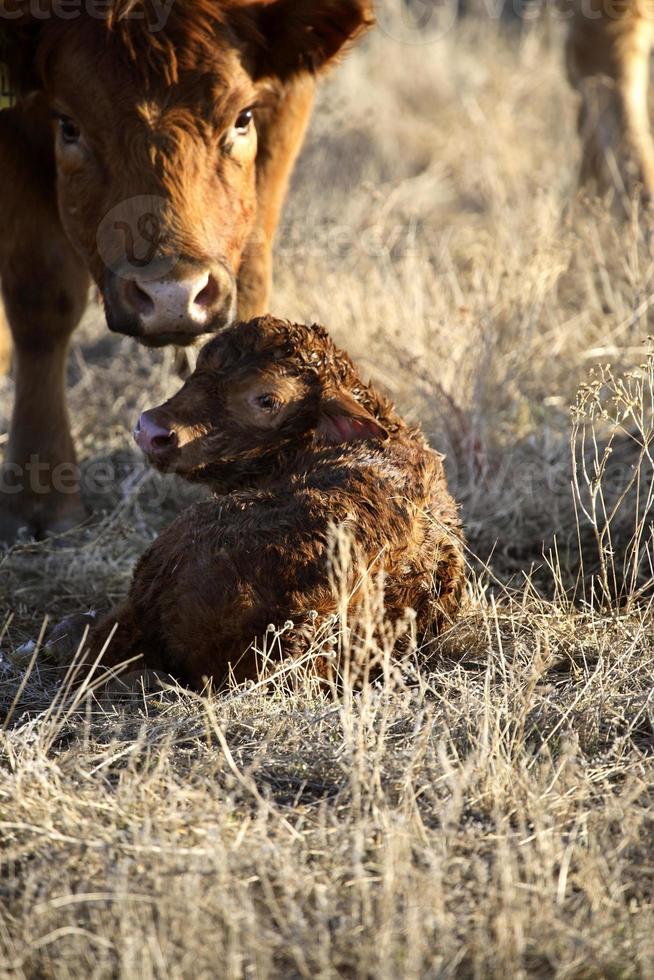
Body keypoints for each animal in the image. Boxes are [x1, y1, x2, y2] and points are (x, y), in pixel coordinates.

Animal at [0, 0, 372, 540]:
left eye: (241, 119)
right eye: (69, 126)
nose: (172, 296)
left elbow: (252, 263)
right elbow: (42, 300)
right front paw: (39, 496)